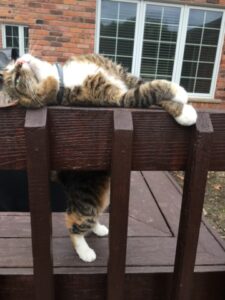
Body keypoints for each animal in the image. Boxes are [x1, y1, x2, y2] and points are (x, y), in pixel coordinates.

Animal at [1, 54, 197, 262]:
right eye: (17, 79)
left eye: (13, 66)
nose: (20, 61)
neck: (61, 76)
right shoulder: (120, 99)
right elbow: (150, 89)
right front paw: (183, 101)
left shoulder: (123, 75)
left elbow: (144, 83)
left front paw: (182, 105)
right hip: (86, 203)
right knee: (73, 224)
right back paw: (85, 252)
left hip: (101, 198)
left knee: (93, 216)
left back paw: (99, 229)